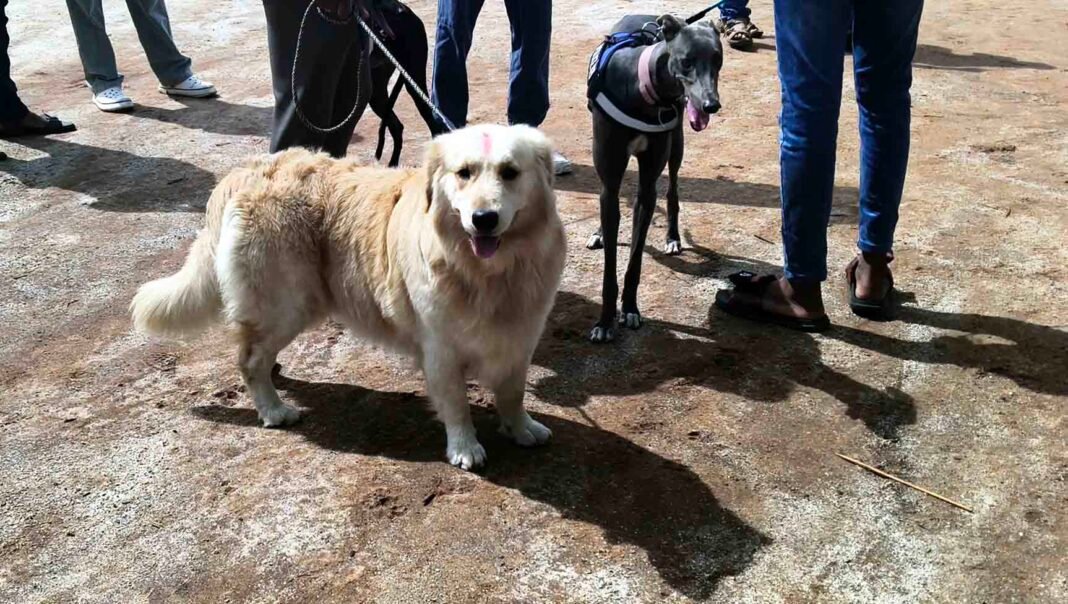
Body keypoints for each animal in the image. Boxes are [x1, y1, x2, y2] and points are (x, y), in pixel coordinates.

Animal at [130, 124, 566, 470]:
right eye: (464, 174)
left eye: (510, 173)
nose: (483, 219)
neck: (489, 274)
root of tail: (248, 171)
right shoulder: (440, 347)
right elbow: (457, 402)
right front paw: (465, 447)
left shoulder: (520, 338)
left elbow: (513, 392)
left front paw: (521, 428)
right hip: (285, 304)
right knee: (249, 359)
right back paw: (273, 409)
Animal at [585, 14, 722, 343]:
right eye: (686, 61)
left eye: (718, 59)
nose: (711, 105)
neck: (642, 92)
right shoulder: (611, 177)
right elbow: (610, 265)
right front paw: (605, 322)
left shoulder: (647, 189)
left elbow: (634, 261)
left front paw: (630, 309)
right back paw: (599, 232)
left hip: (677, 145)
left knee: (672, 191)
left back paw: (672, 237)